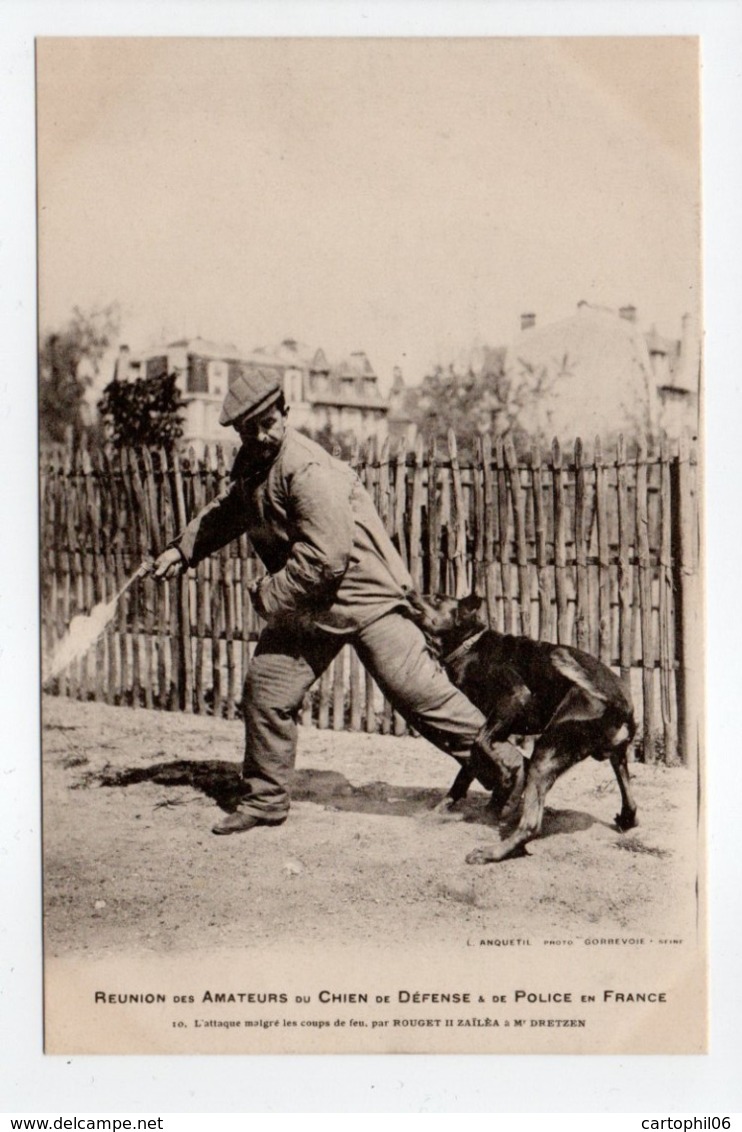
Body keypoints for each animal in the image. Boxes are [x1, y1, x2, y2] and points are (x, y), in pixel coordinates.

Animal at [412, 593, 638, 864]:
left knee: (530, 826)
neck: (470, 646)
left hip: (543, 756)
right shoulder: (497, 724)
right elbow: (465, 772)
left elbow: (480, 743)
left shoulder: (514, 698)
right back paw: (626, 819)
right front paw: (439, 811)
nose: (408, 592)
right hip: (616, 757)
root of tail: (619, 704)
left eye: (436, 598)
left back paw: (491, 852)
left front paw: (505, 784)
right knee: (631, 803)